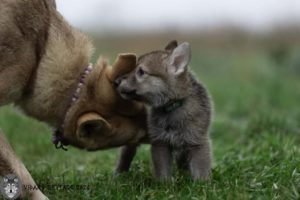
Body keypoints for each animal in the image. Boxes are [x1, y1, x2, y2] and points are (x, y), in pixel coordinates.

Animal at [115, 40, 213, 180]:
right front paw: (164, 184)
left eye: (141, 72)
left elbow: (201, 171)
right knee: (125, 155)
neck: (172, 106)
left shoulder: (197, 142)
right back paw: (118, 176)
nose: (116, 82)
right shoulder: (160, 143)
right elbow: (163, 171)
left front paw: (202, 184)